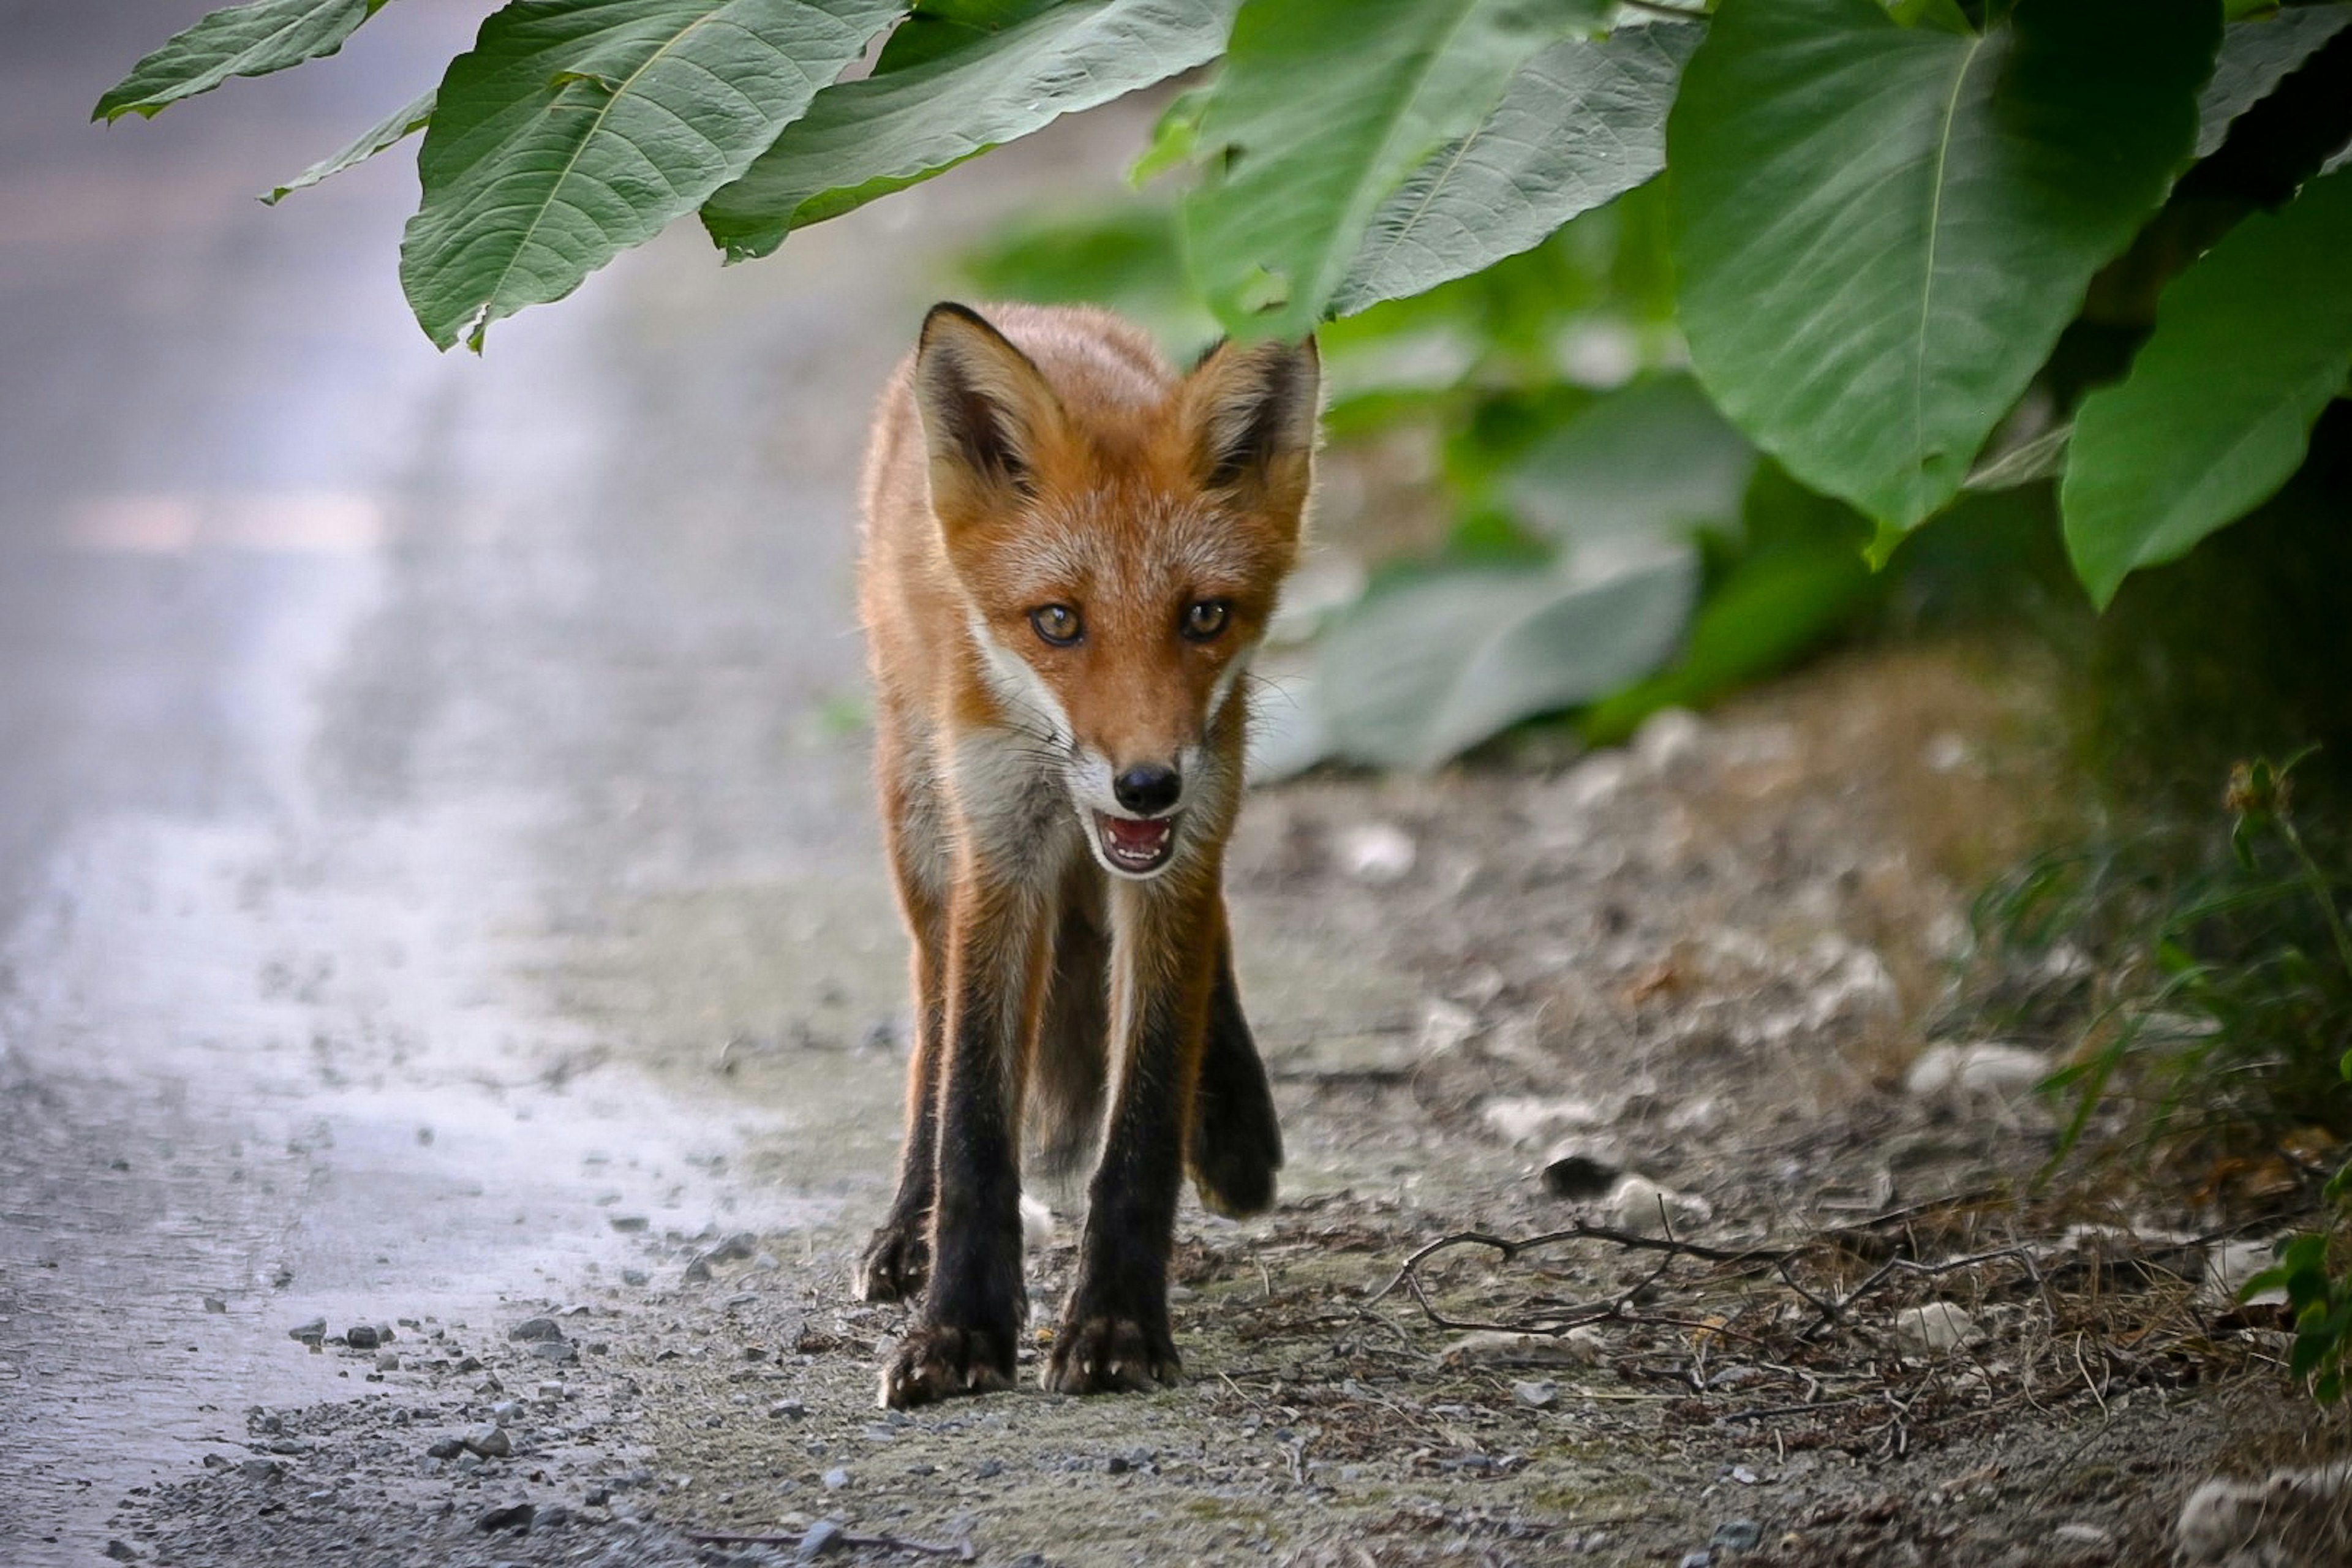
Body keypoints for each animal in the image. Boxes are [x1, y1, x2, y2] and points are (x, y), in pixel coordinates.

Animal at [851, 301, 1326, 1401]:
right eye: (1058, 622)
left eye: (1205, 614)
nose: (1146, 784)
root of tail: (1037, 314)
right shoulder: (1001, 856)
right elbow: (975, 1122)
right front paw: (958, 1328)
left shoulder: (1181, 854)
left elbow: (1143, 1129)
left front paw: (1116, 1323)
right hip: (923, 830)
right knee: (931, 1025)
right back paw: (907, 1228)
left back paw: (1234, 1131)